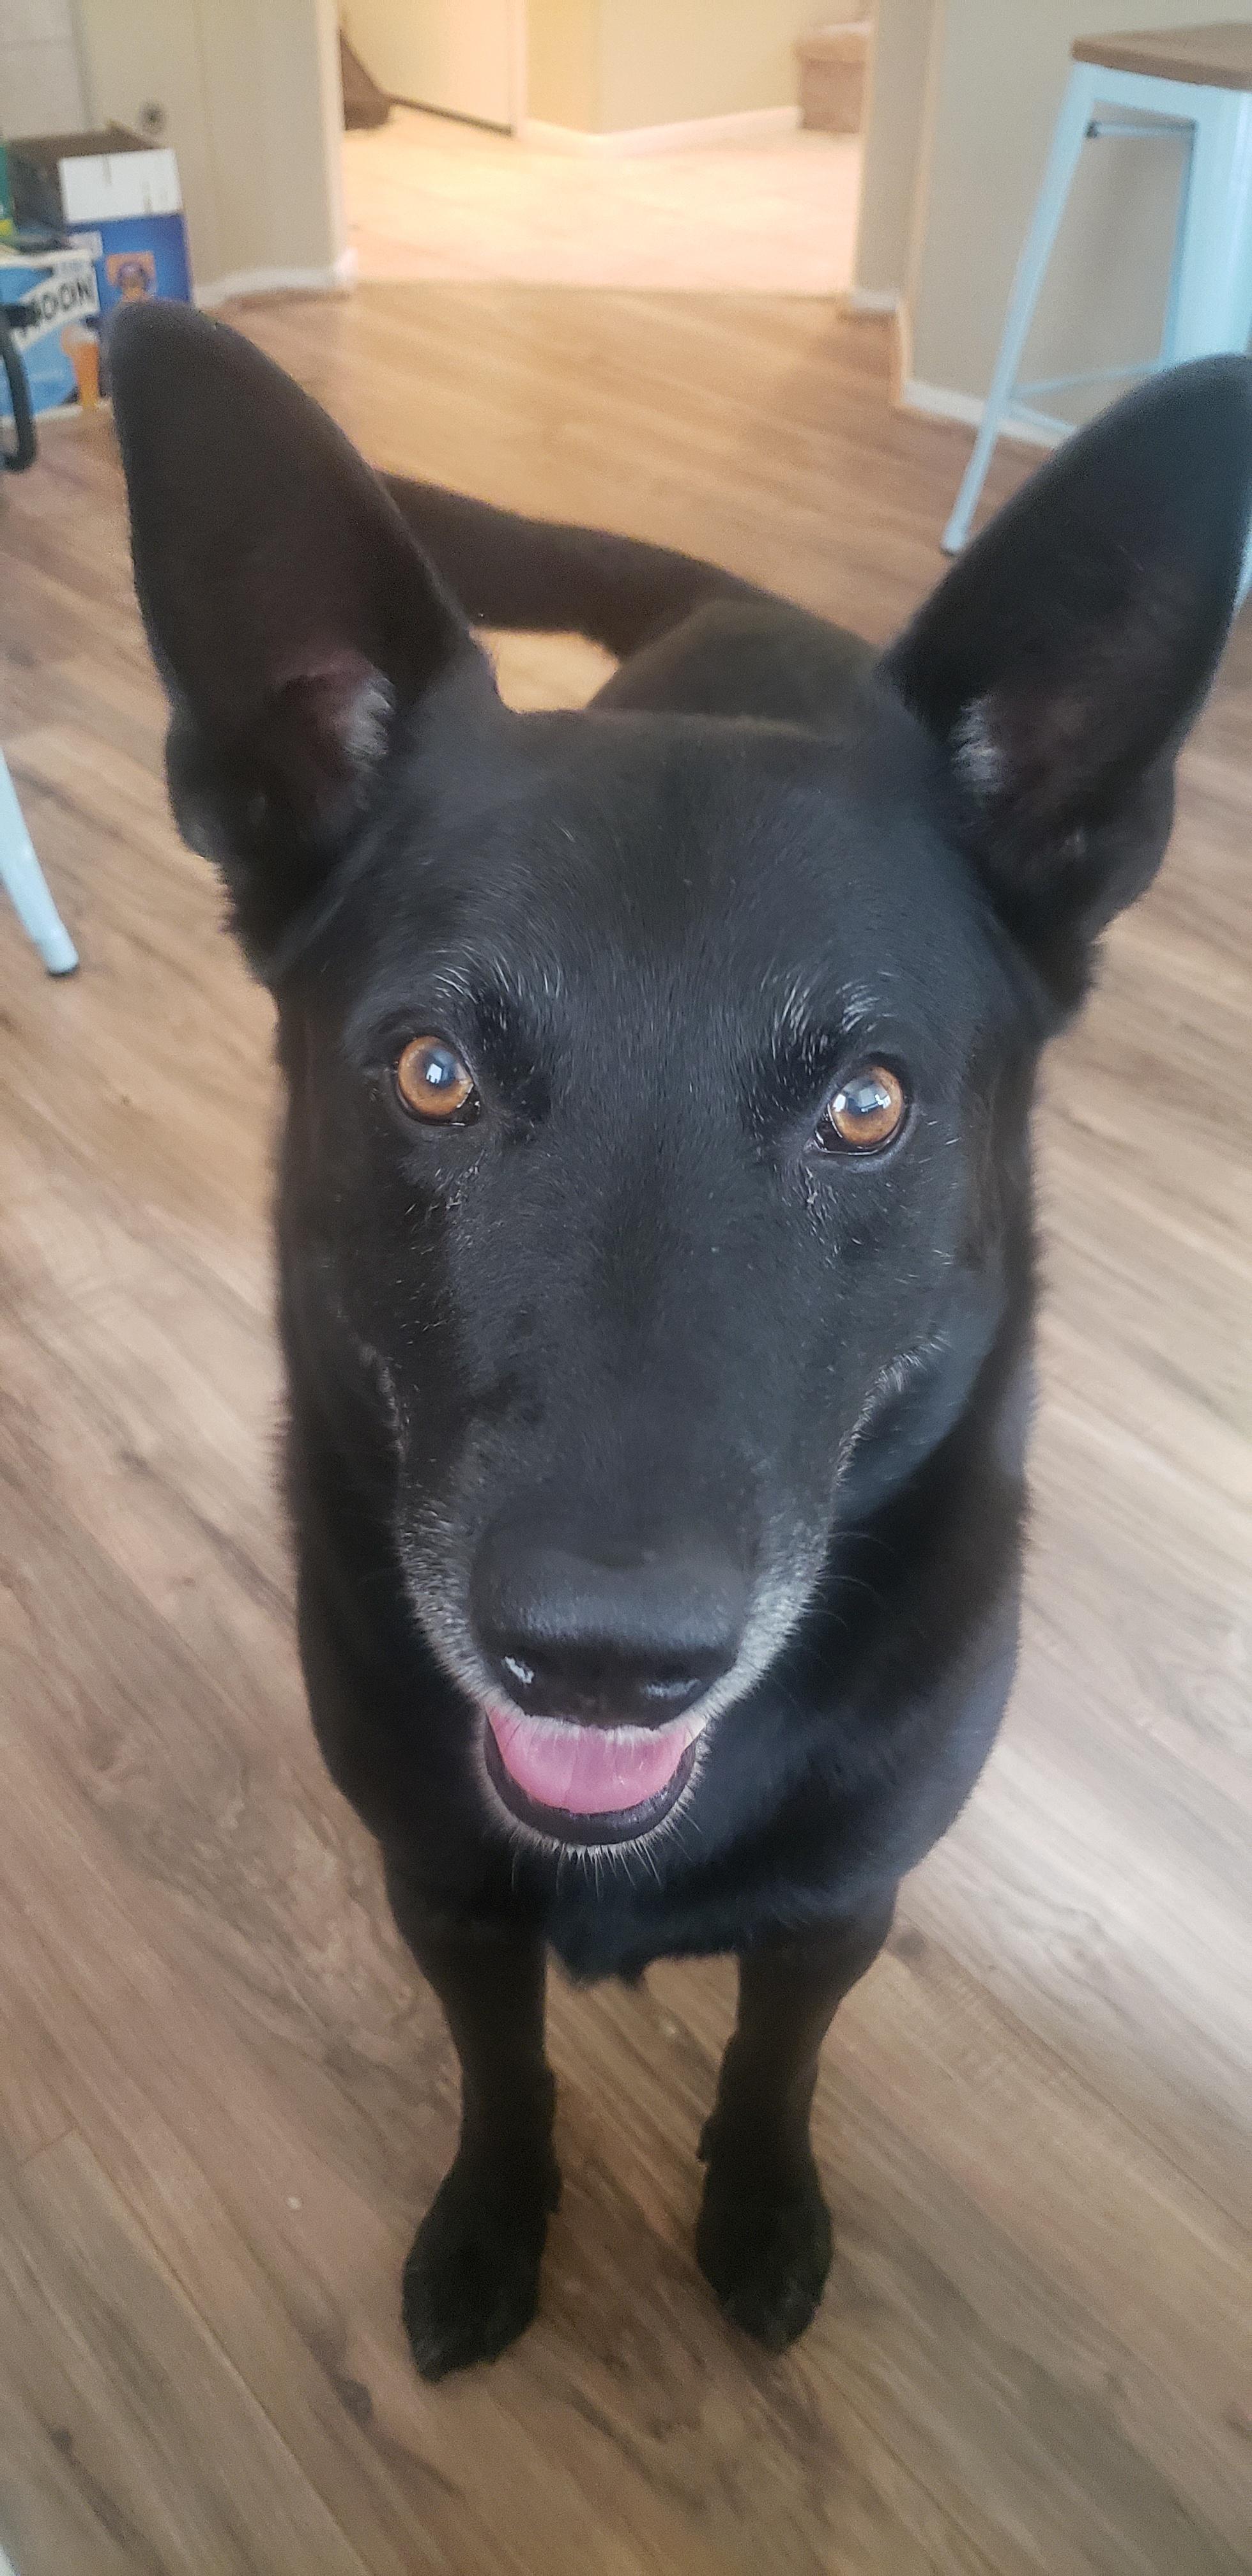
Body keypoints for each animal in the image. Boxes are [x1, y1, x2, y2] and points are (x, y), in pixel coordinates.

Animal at [107, 302, 1252, 2378]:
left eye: (867, 1109)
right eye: (434, 1073)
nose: (602, 1661)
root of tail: (749, 612)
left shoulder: (840, 1910)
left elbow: (770, 2073)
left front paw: (758, 2210)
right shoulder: (441, 1899)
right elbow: (505, 2081)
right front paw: (494, 2222)